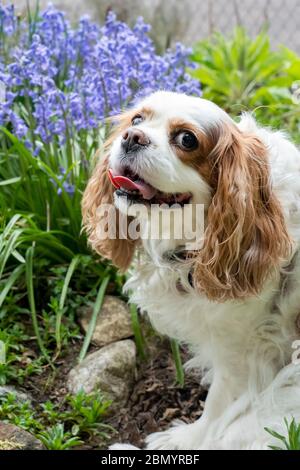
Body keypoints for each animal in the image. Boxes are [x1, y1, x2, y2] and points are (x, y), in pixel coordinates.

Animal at [81, 92, 300, 452]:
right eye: (137, 120)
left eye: (187, 139)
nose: (132, 137)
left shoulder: (243, 350)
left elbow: (217, 407)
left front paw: (185, 439)